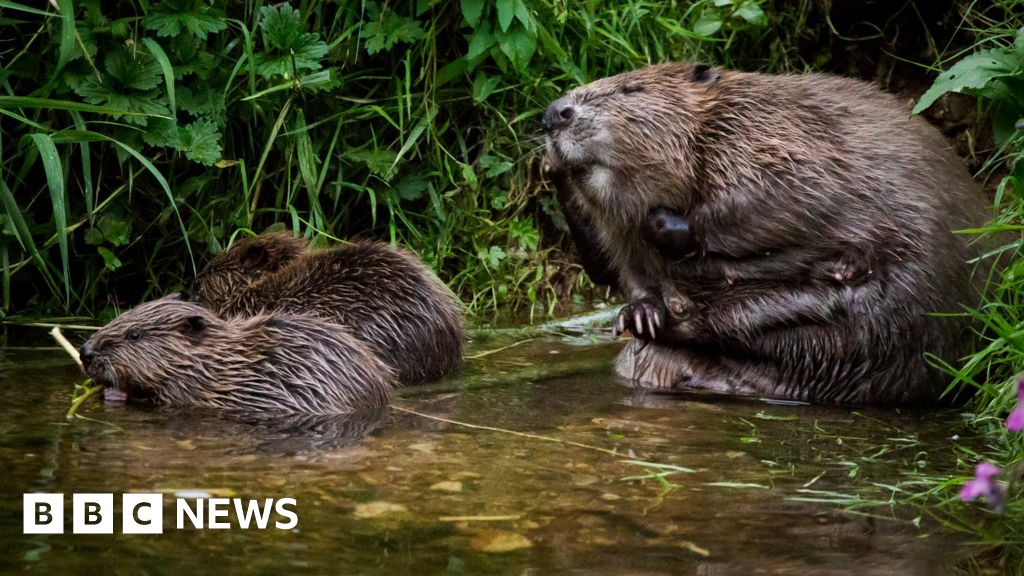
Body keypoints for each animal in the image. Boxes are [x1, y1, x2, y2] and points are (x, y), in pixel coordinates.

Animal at [544, 61, 991, 403]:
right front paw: (640, 313)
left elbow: (788, 188)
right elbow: (623, 270)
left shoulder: (772, 134)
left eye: (630, 88)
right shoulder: (620, 234)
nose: (554, 112)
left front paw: (665, 224)